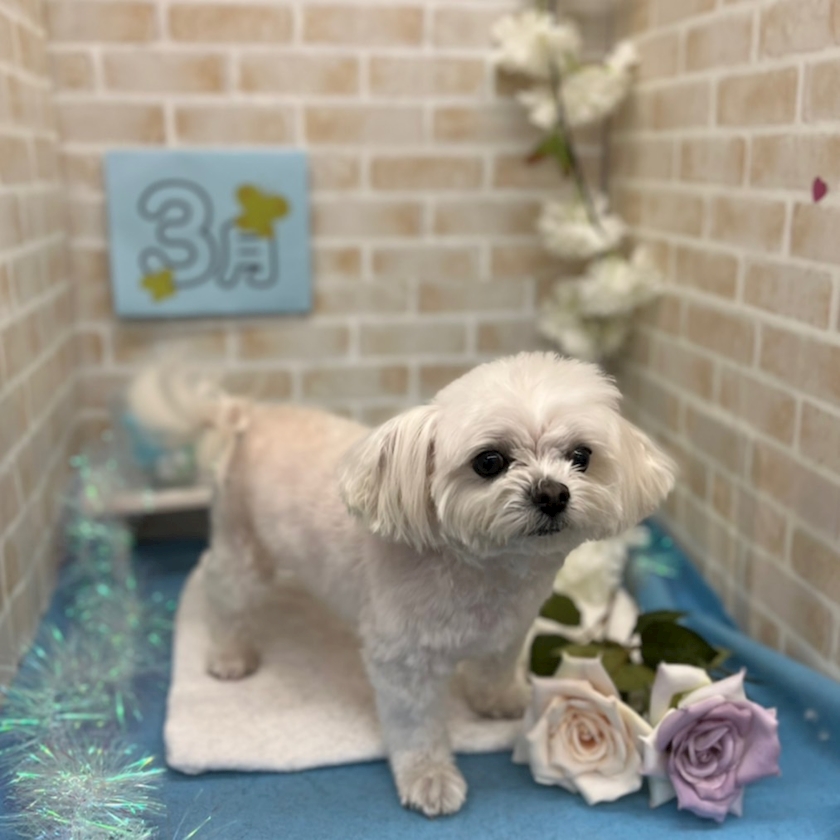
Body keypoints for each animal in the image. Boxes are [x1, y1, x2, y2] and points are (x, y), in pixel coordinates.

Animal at [128, 352, 675, 817]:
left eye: (581, 456)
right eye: (490, 461)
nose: (553, 493)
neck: (483, 572)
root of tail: (248, 417)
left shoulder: (508, 630)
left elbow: (494, 670)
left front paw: (499, 701)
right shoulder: (404, 662)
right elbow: (416, 728)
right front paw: (430, 779)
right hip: (242, 544)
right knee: (222, 590)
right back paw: (229, 655)